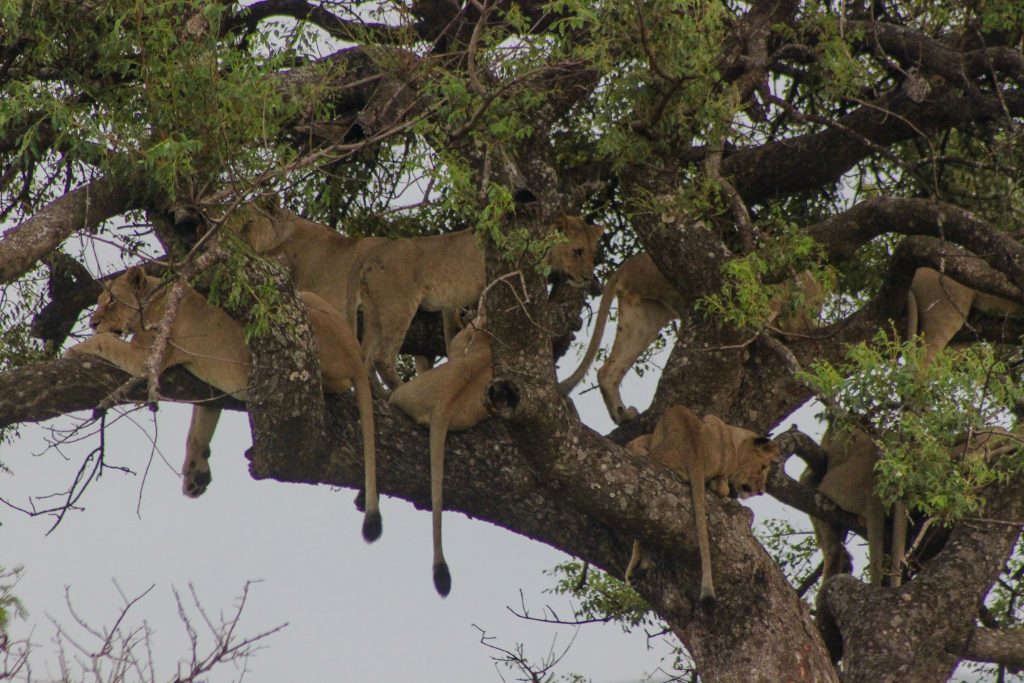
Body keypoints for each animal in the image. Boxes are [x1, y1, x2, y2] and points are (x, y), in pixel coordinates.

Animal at [68, 266, 382, 542]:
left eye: (110, 301)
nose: (92, 322)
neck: (155, 298)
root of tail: (355, 356)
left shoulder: (145, 358)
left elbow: (105, 342)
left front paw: (76, 348)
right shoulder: (209, 389)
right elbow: (198, 427)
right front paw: (194, 475)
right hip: (305, 297)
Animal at [349, 216, 604, 393]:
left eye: (593, 253)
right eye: (578, 251)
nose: (588, 278)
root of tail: (368, 257)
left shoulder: (451, 304)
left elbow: (452, 334)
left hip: (374, 312)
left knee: (364, 358)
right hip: (399, 306)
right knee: (382, 358)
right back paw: (399, 390)